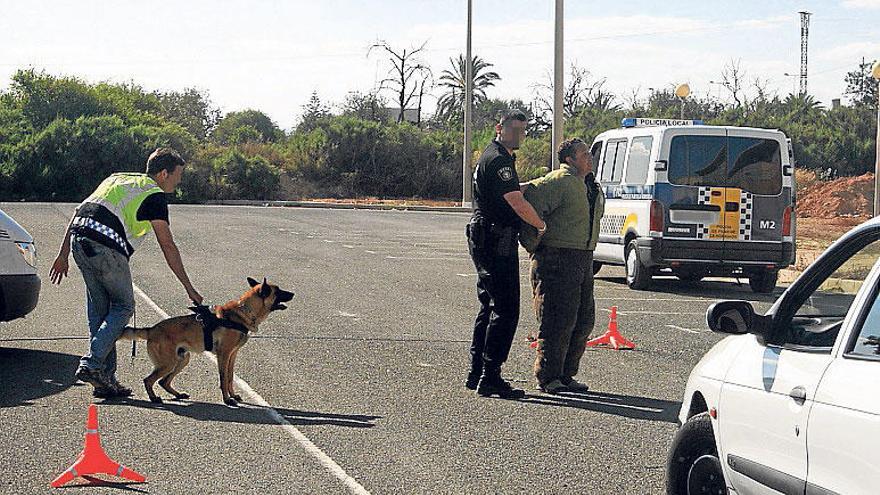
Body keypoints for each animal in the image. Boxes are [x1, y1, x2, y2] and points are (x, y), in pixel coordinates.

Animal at [119, 278, 296, 404]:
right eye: (278, 291)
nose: (293, 294)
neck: (244, 312)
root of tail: (152, 329)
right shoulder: (223, 355)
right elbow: (223, 378)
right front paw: (227, 399)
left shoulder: (232, 355)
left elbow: (230, 377)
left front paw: (233, 395)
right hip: (168, 363)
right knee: (148, 380)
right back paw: (154, 398)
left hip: (182, 359)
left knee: (163, 381)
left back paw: (178, 395)